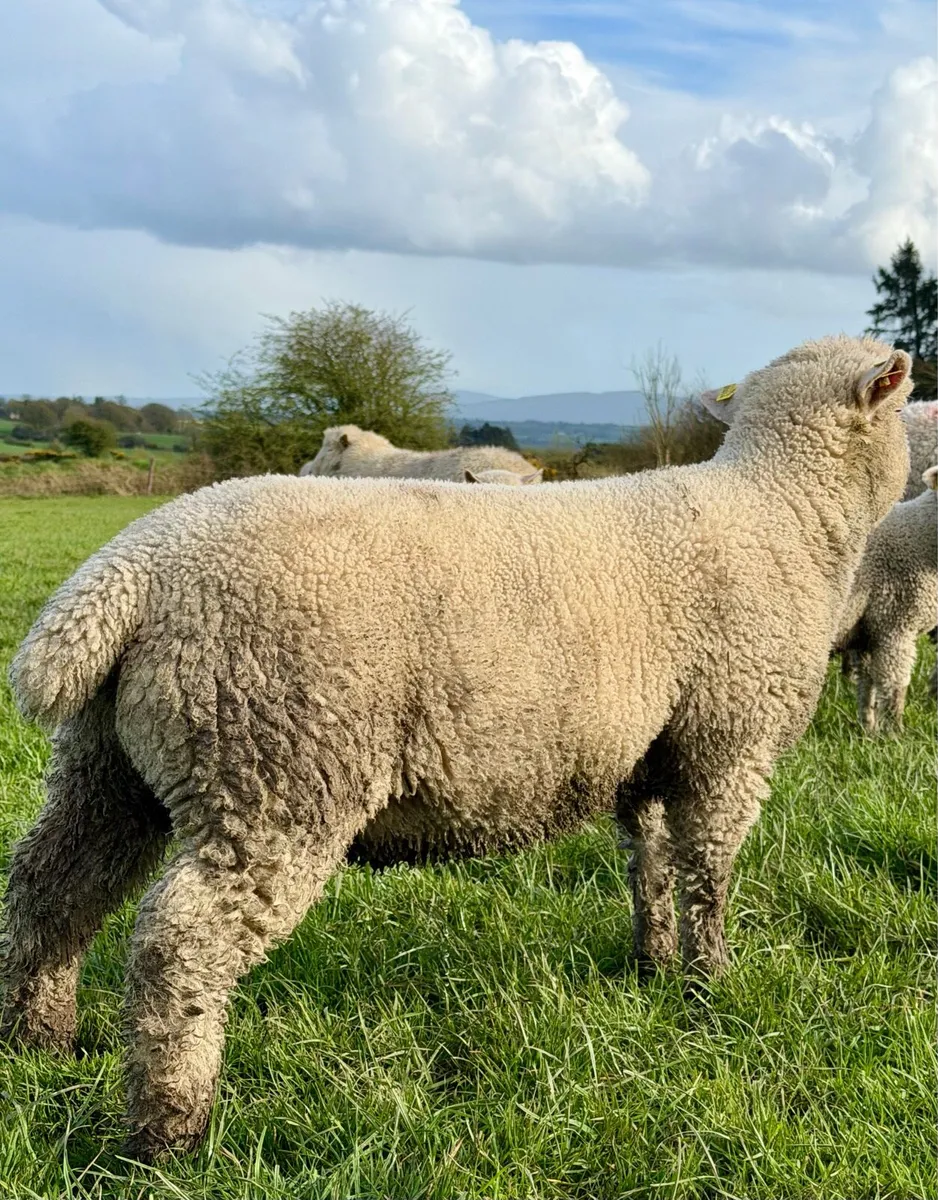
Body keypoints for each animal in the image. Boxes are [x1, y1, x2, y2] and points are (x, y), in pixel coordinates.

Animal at [1, 336, 913, 1160]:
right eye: (908, 405)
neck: (782, 513)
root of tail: (128, 574)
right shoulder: (730, 740)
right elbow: (708, 877)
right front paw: (709, 985)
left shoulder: (650, 754)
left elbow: (652, 867)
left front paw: (653, 967)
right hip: (276, 766)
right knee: (178, 945)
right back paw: (170, 1132)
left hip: (110, 765)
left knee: (51, 888)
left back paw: (38, 1040)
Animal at [833, 466, 937, 732]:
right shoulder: (894, 625)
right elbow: (894, 686)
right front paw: (895, 732)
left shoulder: (868, 631)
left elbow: (867, 684)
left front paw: (868, 729)